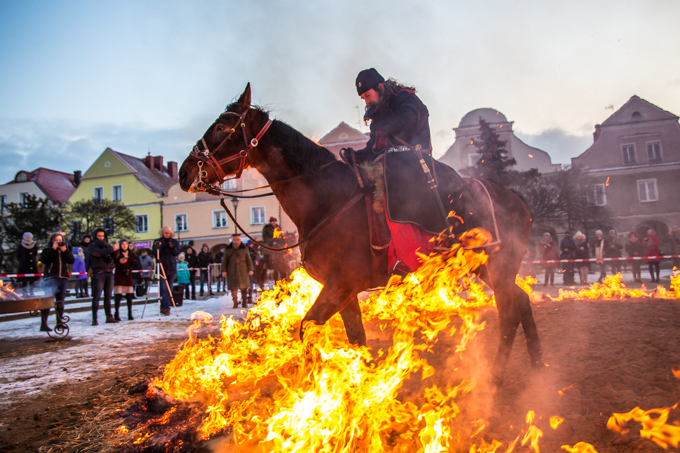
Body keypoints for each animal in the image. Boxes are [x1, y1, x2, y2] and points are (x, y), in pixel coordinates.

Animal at [178, 84, 544, 382]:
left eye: (222, 126)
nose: (184, 172)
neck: (328, 199)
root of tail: (519, 202)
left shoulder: (340, 283)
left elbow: (307, 328)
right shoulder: (344, 289)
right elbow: (357, 339)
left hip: (496, 266)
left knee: (509, 313)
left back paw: (497, 376)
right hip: (487, 268)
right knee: (521, 301)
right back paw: (539, 366)